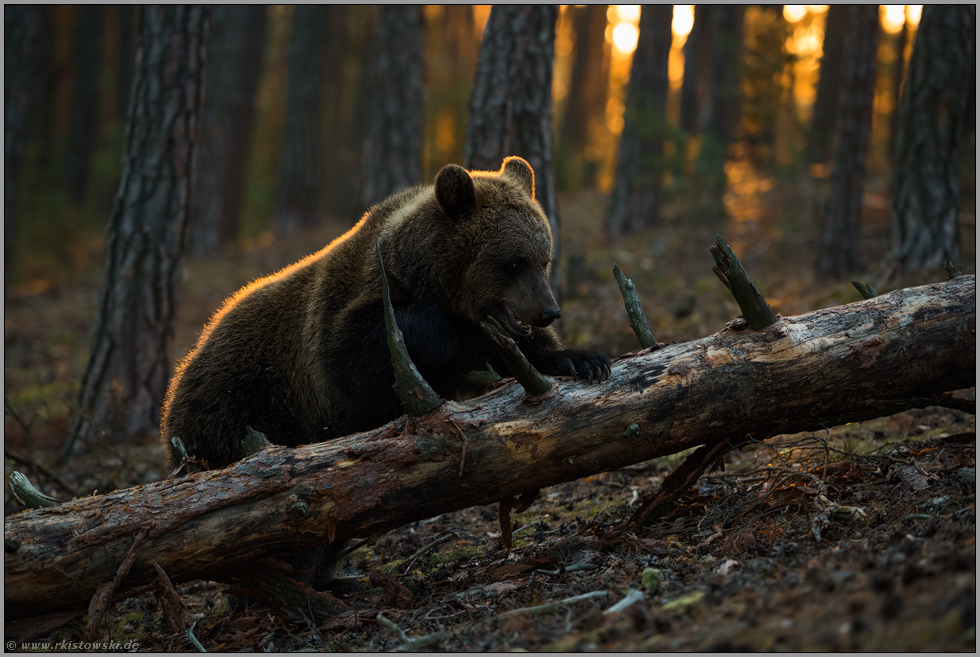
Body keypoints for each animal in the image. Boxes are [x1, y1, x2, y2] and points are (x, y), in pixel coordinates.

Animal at [160, 158, 604, 584]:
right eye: (514, 261)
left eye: (544, 258)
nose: (549, 312)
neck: (437, 283)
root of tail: (176, 387)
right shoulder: (345, 325)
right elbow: (360, 360)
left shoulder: (487, 333)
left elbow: (521, 360)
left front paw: (582, 360)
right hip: (240, 414)